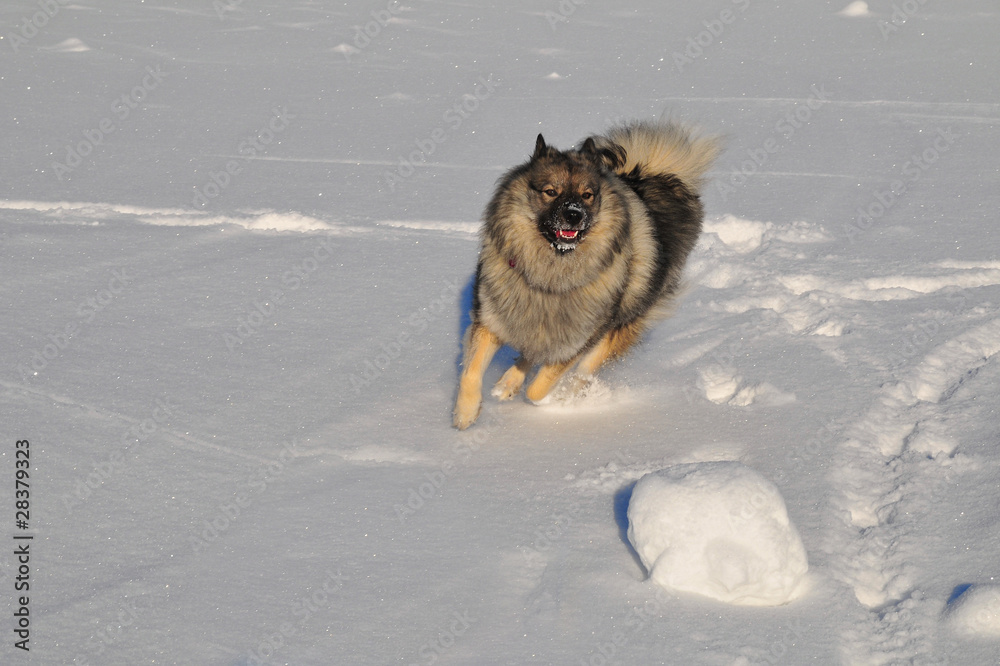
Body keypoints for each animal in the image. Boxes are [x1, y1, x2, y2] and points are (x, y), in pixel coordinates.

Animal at [454, 120, 720, 428]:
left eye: (587, 195)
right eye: (550, 191)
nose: (573, 215)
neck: (549, 278)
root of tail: (651, 176)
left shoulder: (581, 338)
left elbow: (539, 387)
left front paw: (556, 400)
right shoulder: (491, 319)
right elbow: (471, 372)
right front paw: (465, 414)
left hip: (616, 328)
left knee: (582, 371)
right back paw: (509, 383)